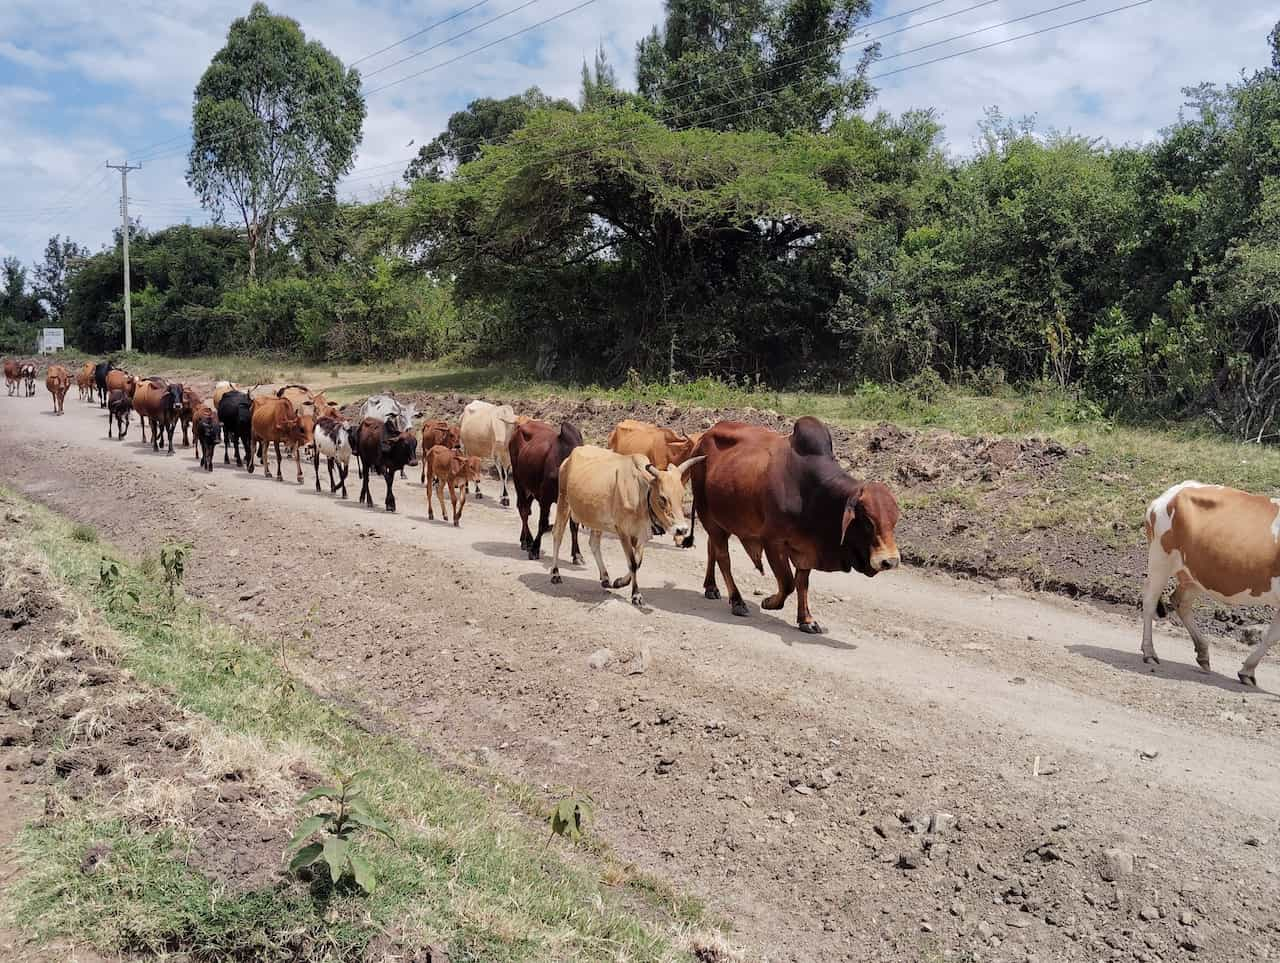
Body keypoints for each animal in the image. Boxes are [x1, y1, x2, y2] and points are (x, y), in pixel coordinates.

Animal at [512, 417, 586, 560]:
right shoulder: (545, 499)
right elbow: (543, 523)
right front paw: (535, 550)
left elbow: (573, 526)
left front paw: (577, 554)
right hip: (518, 481)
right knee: (523, 510)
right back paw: (527, 541)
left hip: (530, 488)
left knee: (525, 509)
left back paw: (524, 539)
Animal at [545, 445, 701, 609]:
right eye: (663, 498)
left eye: (682, 496)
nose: (682, 529)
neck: (641, 492)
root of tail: (570, 457)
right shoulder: (623, 531)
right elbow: (632, 563)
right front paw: (636, 595)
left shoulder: (642, 535)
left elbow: (637, 563)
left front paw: (619, 582)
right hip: (563, 502)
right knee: (557, 535)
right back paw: (555, 573)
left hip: (596, 519)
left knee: (593, 543)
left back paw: (605, 578)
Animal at [691, 414, 901, 632]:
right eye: (867, 521)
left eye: (894, 521)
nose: (891, 561)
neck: (813, 493)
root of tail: (703, 437)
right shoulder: (772, 542)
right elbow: (787, 582)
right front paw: (769, 602)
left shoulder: (806, 548)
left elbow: (802, 583)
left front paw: (806, 620)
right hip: (708, 516)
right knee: (724, 558)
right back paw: (737, 601)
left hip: (720, 521)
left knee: (712, 549)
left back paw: (711, 587)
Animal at [1141, 481, 1280, 686]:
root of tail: (1175, 490)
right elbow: (1272, 636)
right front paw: (1247, 671)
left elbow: (1272, 636)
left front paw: (1247, 671)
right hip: (1161, 558)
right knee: (1150, 602)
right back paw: (1149, 652)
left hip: (1195, 574)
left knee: (1180, 601)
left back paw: (1202, 653)